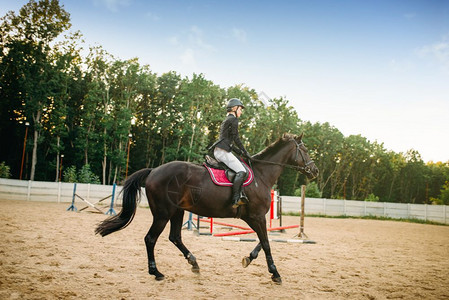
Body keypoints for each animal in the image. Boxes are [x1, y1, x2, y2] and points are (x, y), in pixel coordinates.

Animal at [95, 132, 318, 284]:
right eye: (305, 150)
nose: (314, 171)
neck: (261, 175)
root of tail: (153, 171)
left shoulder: (253, 218)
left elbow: (264, 242)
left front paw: (248, 259)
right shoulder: (256, 216)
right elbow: (267, 243)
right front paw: (275, 273)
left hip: (177, 211)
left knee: (175, 237)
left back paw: (194, 264)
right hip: (163, 214)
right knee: (150, 239)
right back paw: (156, 272)